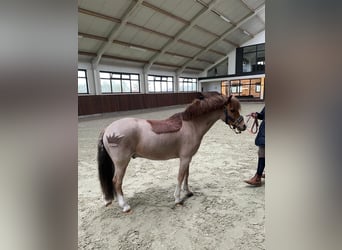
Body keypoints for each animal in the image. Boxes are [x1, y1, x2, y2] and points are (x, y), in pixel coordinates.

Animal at [97, 91, 246, 212]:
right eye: (232, 109)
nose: (243, 126)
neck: (192, 125)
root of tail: (108, 129)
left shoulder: (188, 158)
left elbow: (186, 175)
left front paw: (188, 192)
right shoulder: (184, 158)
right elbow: (180, 176)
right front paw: (178, 199)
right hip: (122, 163)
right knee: (116, 181)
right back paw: (124, 206)